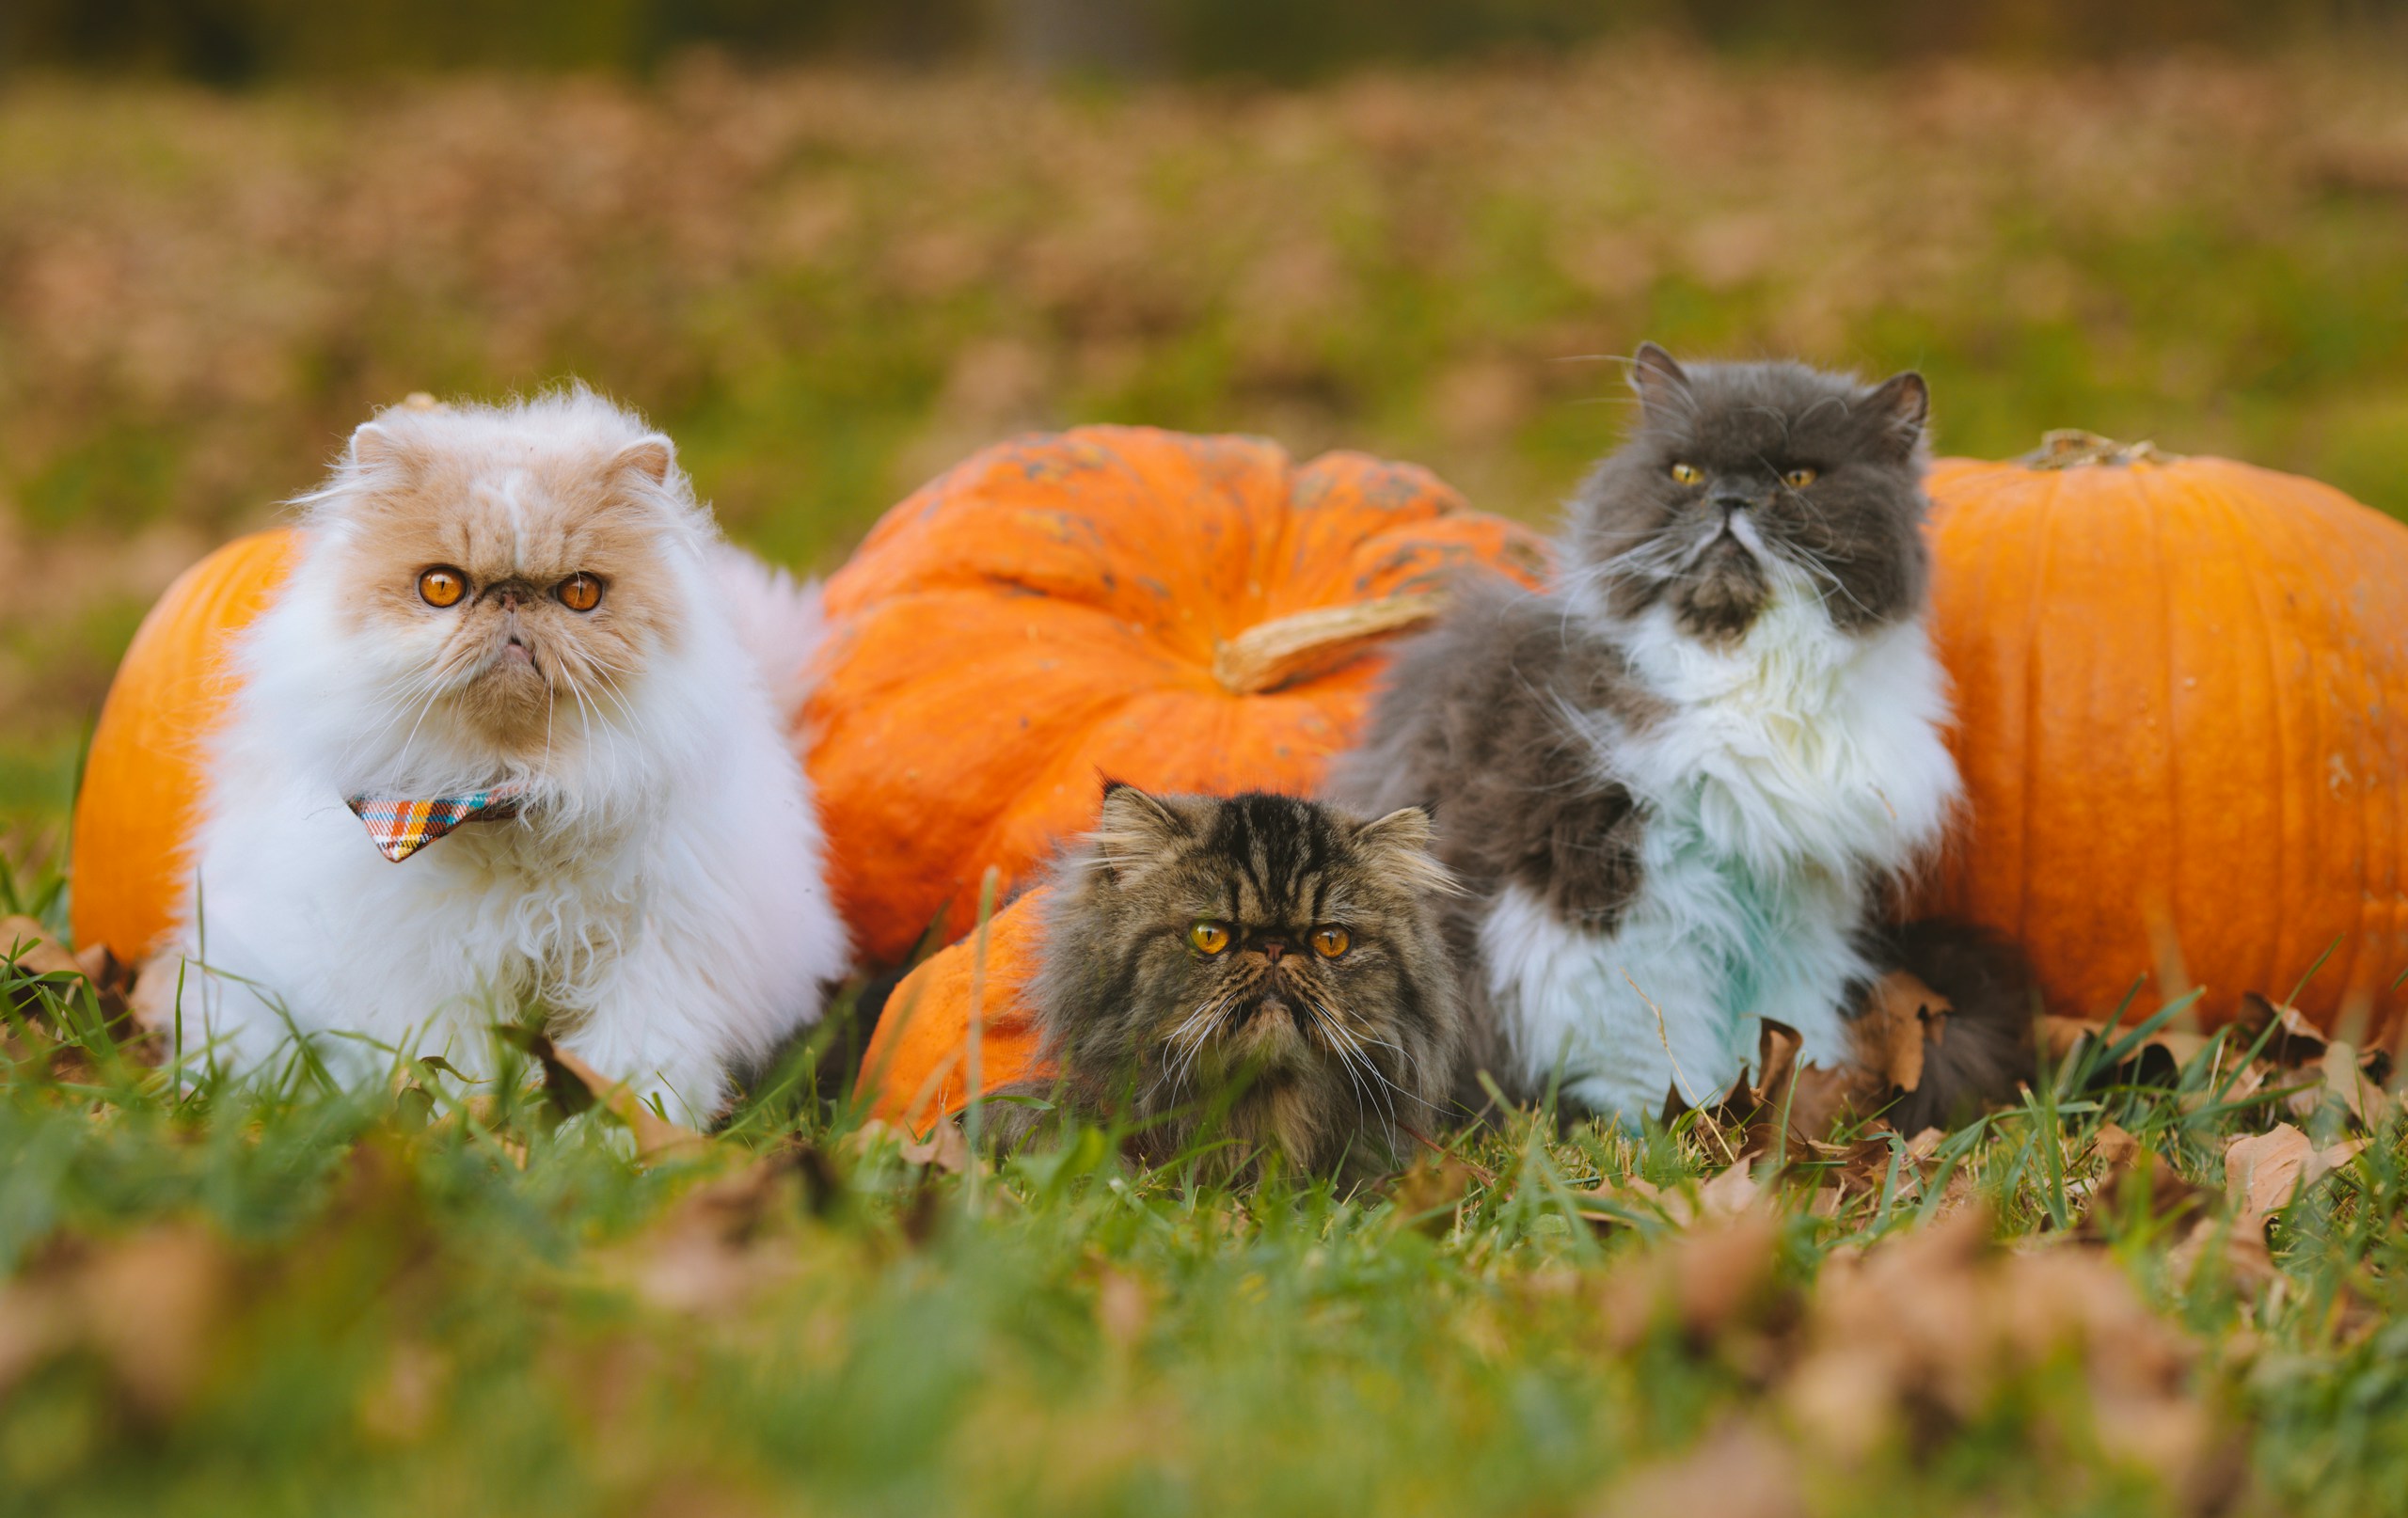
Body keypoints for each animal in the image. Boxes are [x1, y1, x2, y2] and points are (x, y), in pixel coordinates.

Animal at [157, 392, 848, 1132]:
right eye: (441, 587)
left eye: (580, 593)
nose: (513, 596)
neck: (509, 795)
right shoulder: (432, 971)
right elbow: (449, 1071)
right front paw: (471, 1131)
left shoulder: (656, 959)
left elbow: (631, 1068)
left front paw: (598, 1145)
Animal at [1339, 341, 2032, 1132]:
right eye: (1686, 473)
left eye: (1797, 477)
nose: (1729, 500)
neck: (1746, 678)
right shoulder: (1609, 890)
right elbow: (1650, 1033)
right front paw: (1679, 1128)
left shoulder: (1797, 903)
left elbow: (1791, 1021)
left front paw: (1795, 1109)